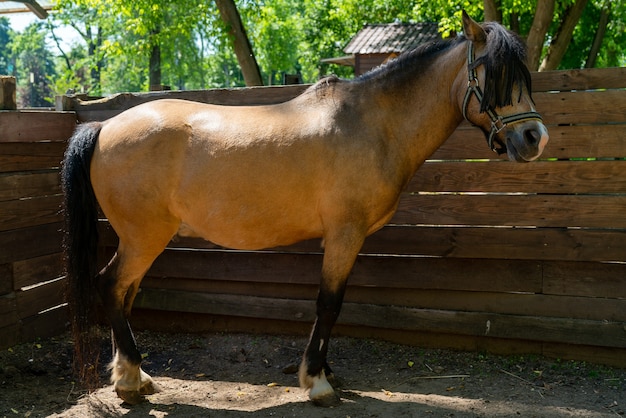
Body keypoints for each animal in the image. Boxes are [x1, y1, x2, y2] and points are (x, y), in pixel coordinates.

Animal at [62, 12, 544, 404]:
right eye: (494, 74)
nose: (535, 138)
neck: (371, 124)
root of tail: (104, 126)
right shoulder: (345, 234)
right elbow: (328, 304)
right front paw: (317, 381)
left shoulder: (343, 239)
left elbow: (332, 303)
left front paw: (326, 370)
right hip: (144, 238)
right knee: (110, 286)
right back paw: (130, 381)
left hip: (141, 240)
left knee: (124, 293)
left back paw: (131, 376)